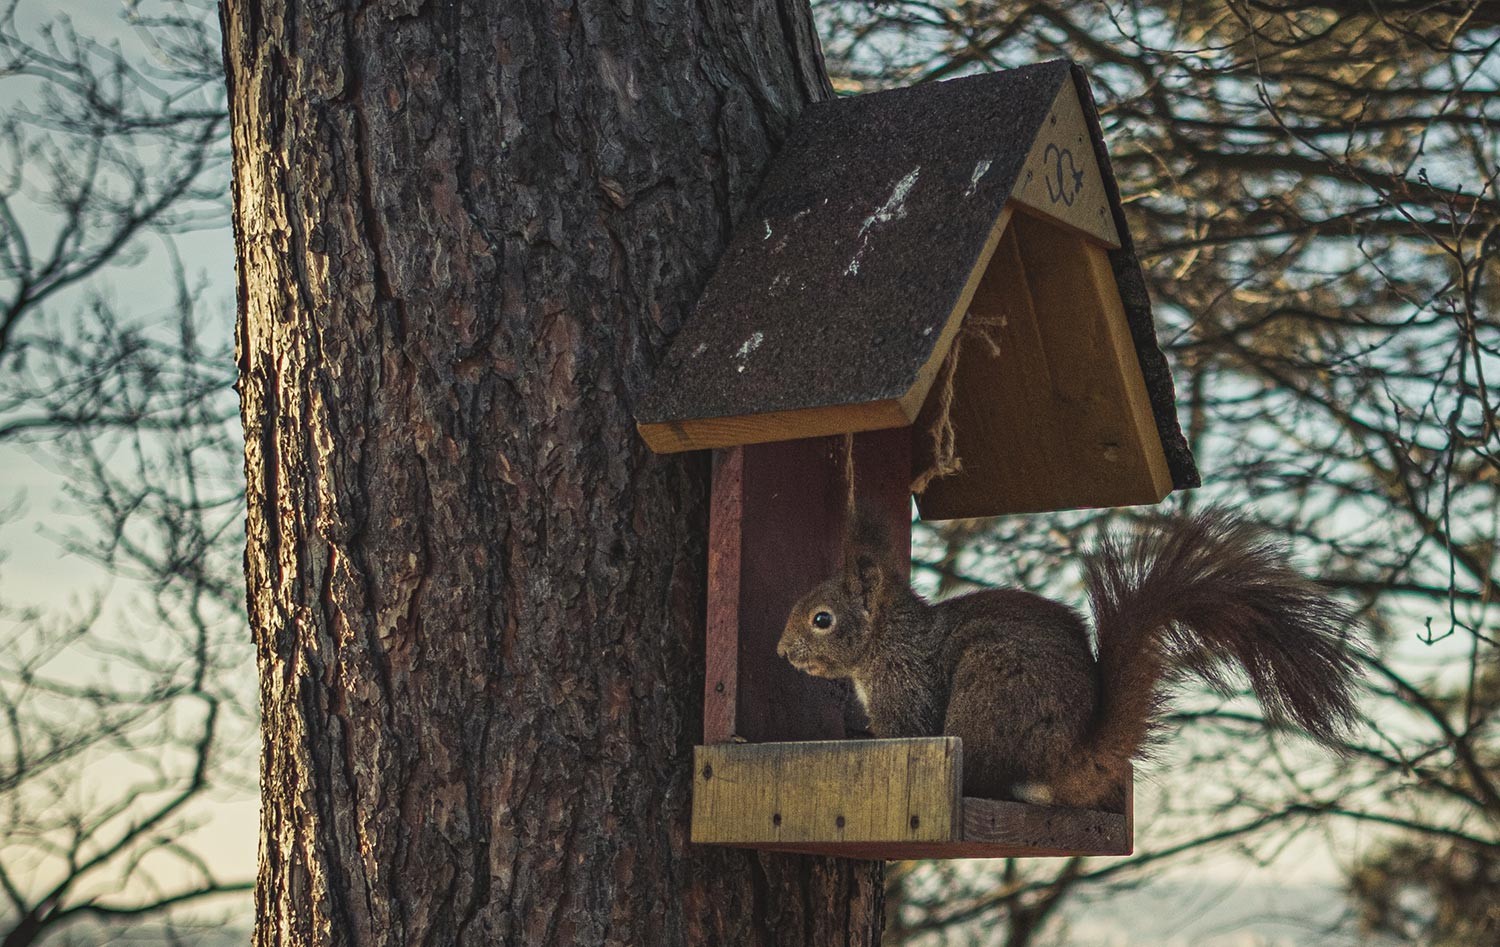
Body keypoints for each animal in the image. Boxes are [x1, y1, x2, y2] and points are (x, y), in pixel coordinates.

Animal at [780, 507, 1368, 810]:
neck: (886, 639)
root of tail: (1068, 760)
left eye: (822, 619)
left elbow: (906, 731)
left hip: (989, 692)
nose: (782, 652)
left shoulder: (907, 688)